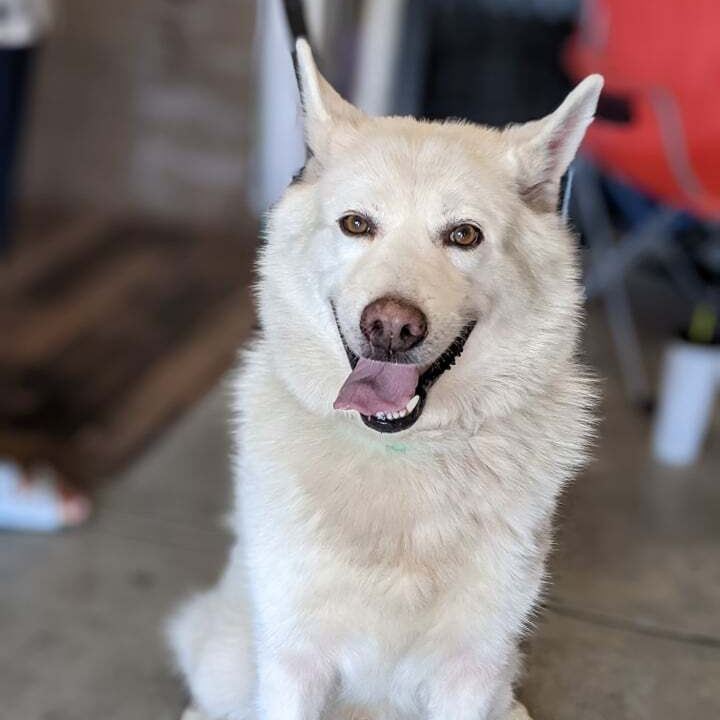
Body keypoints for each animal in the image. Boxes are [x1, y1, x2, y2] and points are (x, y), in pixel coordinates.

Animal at [169, 40, 600, 720]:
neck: (403, 458)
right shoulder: (292, 663)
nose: (391, 327)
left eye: (464, 235)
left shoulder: (470, 672)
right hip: (228, 662)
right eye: (356, 224)